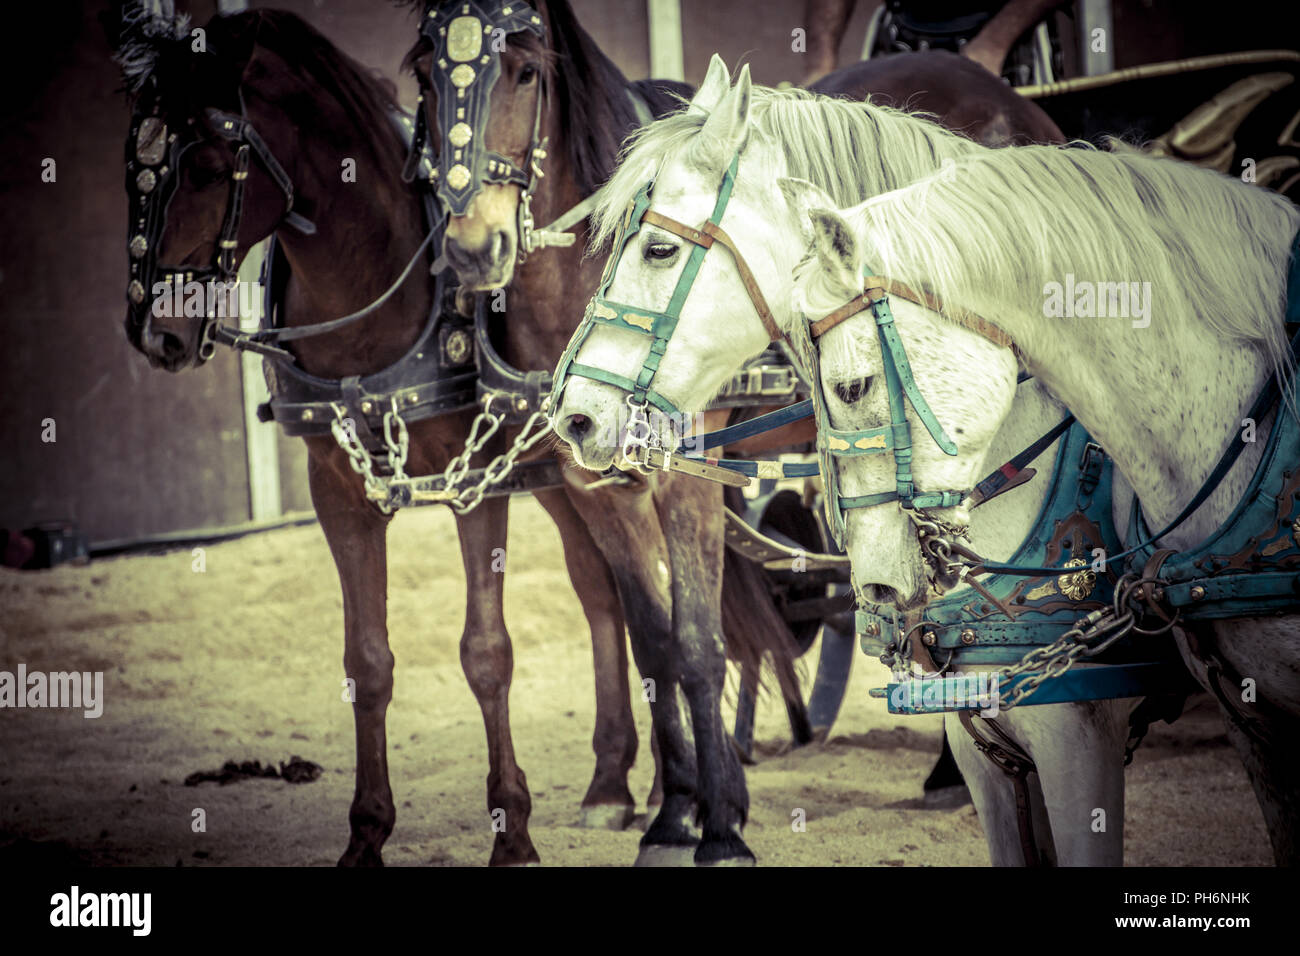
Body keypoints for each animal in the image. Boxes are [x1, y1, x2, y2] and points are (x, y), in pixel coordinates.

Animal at [405, 0, 1066, 868]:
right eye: (422, 72)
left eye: (523, 70)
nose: (472, 245)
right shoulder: (594, 486)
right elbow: (655, 643)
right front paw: (674, 814)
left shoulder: (681, 478)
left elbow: (697, 641)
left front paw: (719, 824)